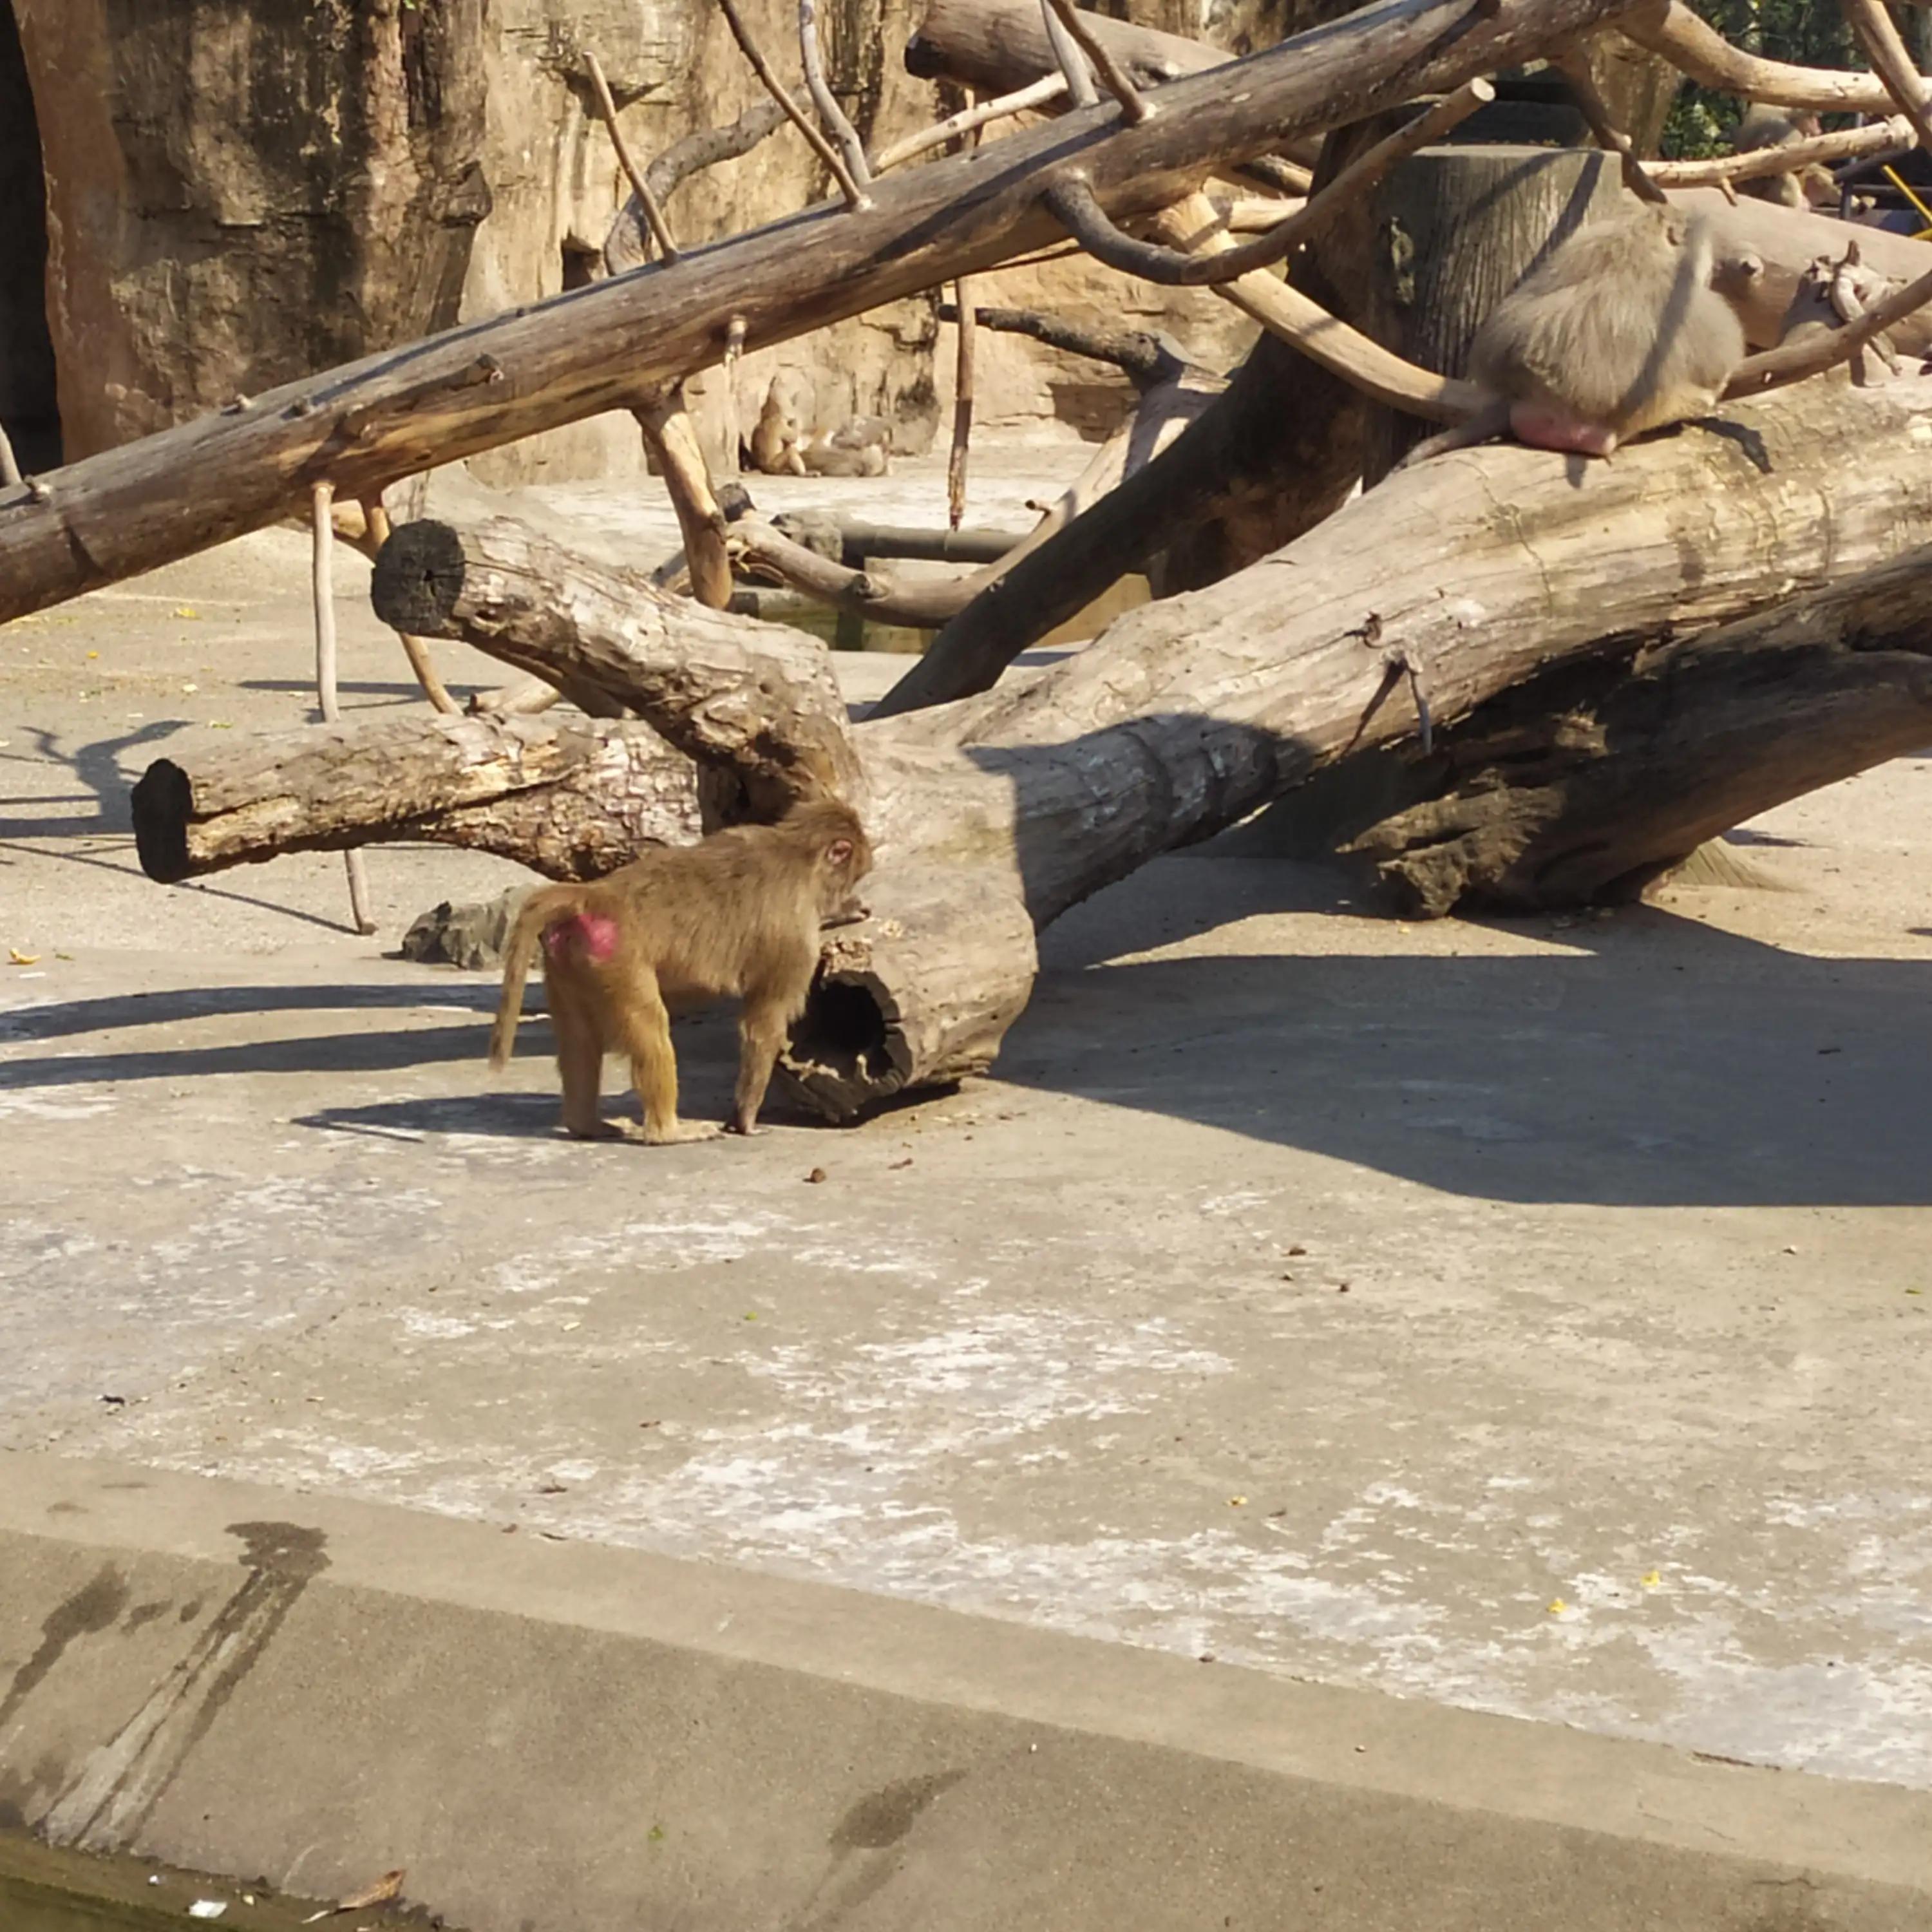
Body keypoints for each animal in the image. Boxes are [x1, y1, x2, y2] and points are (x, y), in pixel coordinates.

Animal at [488, 796, 873, 1145]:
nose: (848, 895)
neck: (797, 855)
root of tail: (595, 896)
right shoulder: (794, 936)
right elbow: (763, 1026)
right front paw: (745, 1121)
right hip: (619, 964)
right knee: (650, 1029)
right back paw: (668, 1133)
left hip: (568, 966)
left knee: (580, 1040)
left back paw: (586, 1125)